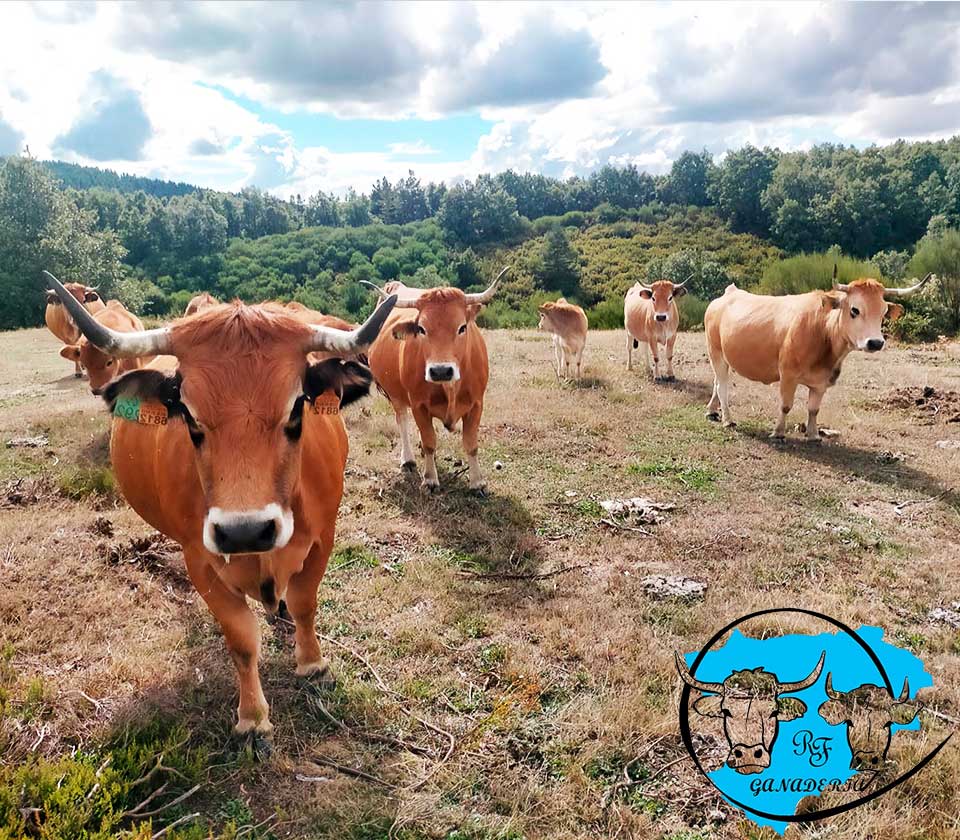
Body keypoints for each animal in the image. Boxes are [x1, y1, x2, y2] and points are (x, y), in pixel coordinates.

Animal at [43, 270, 396, 748]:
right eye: (187, 415)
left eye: (297, 408)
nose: (245, 531)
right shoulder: (201, 561)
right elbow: (242, 639)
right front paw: (252, 718)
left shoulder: (324, 538)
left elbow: (305, 603)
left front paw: (313, 665)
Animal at [362, 268, 510, 492]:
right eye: (421, 329)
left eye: (462, 327)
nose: (441, 371)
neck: (449, 388)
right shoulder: (418, 406)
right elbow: (429, 441)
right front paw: (430, 478)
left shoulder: (477, 404)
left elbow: (471, 444)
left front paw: (477, 482)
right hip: (396, 395)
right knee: (402, 421)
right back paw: (408, 459)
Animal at [700, 270, 932, 442]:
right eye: (855, 310)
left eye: (883, 313)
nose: (875, 342)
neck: (823, 333)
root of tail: (729, 293)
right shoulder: (788, 375)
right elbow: (786, 405)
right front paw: (778, 432)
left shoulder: (822, 382)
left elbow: (814, 409)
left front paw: (813, 435)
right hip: (715, 352)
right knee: (723, 386)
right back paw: (728, 419)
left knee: (716, 383)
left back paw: (712, 410)